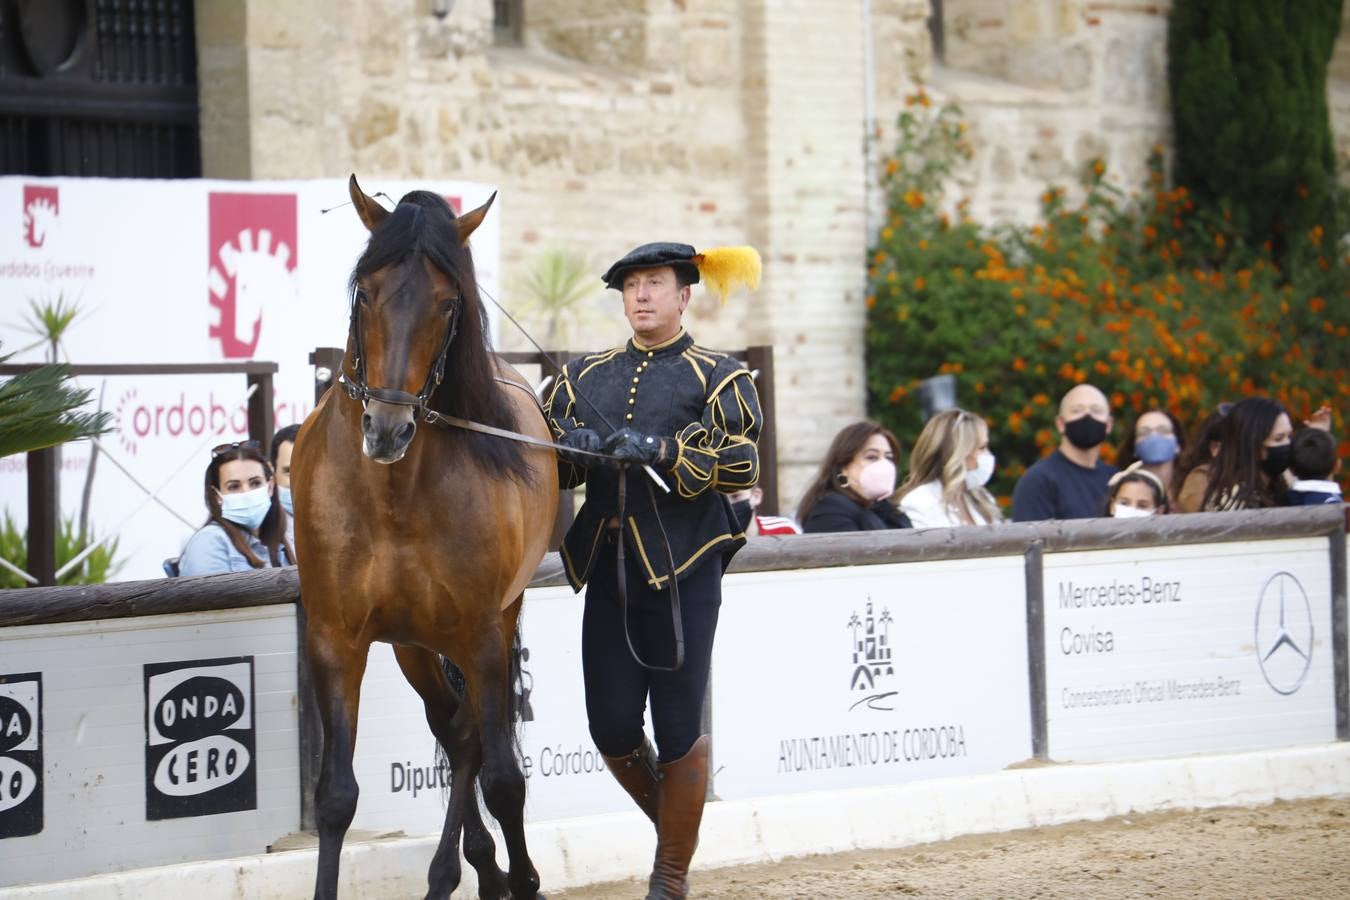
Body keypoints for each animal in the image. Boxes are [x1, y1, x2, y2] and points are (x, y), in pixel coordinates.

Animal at [294, 178, 558, 900]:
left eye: (447, 303)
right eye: (365, 292)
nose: (386, 429)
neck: (392, 498)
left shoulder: (484, 634)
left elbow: (503, 778)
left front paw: (522, 877)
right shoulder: (335, 638)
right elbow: (335, 796)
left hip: (488, 625)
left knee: (472, 740)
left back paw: (479, 870)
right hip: (412, 644)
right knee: (452, 725)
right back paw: (473, 866)